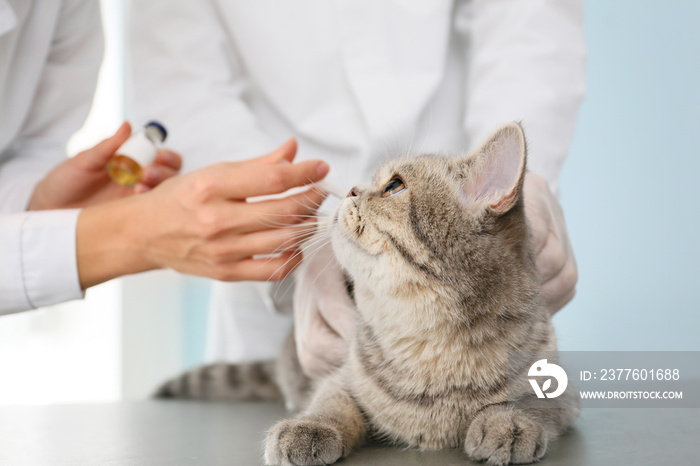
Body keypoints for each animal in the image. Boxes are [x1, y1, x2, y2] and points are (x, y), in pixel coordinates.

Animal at [154, 124, 580, 466]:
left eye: (394, 186)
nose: (350, 188)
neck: (430, 348)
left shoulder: (563, 394)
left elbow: (532, 403)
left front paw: (508, 423)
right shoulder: (342, 379)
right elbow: (331, 404)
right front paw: (307, 427)